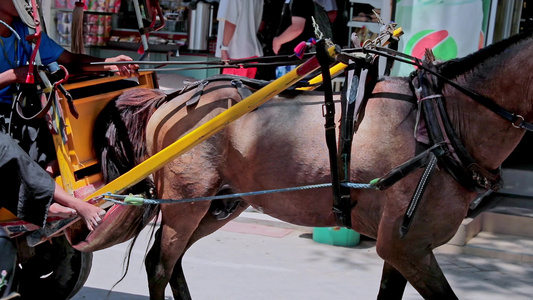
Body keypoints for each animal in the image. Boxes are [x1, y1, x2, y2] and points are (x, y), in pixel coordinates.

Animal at [87, 31, 532, 298]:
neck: (443, 117)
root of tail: (172, 97)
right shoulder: (406, 245)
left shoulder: (402, 248)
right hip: (187, 203)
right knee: (159, 265)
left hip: (218, 205)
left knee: (171, 262)